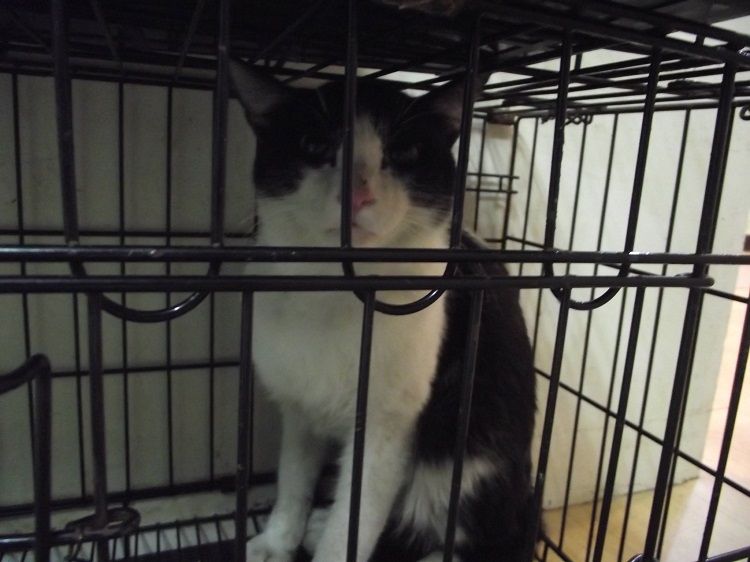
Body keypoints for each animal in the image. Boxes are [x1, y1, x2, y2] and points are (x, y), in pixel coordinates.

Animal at [229, 59, 537, 562]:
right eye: (315, 145)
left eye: (405, 150)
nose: (358, 194)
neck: (336, 287)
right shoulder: (298, 403)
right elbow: (293, 476)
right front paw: (277, 540)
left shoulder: (388, 424)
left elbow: (354, 523)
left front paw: (324, 540)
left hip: (472, 456)